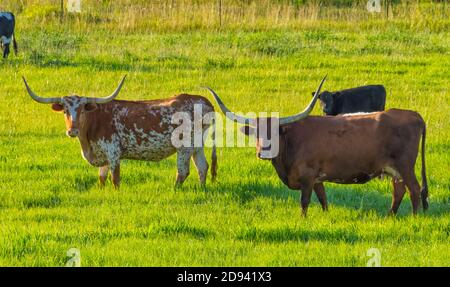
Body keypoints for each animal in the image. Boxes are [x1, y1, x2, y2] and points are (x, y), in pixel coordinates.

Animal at [24, 76, 218, 189]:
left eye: (82, 110)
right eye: (65, 110)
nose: (72, 130)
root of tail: (204, 101)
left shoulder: (113, 153)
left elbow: (114, 179)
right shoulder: (102, 155)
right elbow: (102, 178)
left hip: (185, 147)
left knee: (183, 171)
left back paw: (174, 191)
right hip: (197, 146)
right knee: (202, 167)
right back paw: (202, 190)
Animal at [206, 77, 428, 217]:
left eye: (275, 132)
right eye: (257, 134)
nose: (264, 152)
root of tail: (413, 114)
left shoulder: (307, 177)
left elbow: (304, 201)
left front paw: (302, 220)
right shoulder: (317, 179)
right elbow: (323, 199)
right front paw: (326, 216)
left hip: (405, 166)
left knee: (414, 190)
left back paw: (415, 217)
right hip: (393, 169)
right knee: (399, 191)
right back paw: (390, 216)